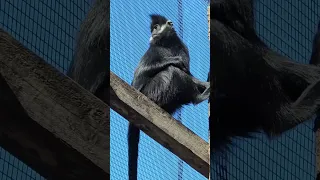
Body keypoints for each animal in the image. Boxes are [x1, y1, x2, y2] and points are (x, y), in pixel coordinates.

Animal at [127, 14, 210, 180]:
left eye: (156, 27)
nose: (153, 32)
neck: (168, 44)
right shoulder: (154, 49)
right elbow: (141, 73)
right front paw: (175, 61)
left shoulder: (183, 47)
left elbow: (188, 73)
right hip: (153, 92)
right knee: (172, 71)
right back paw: (199, 97)